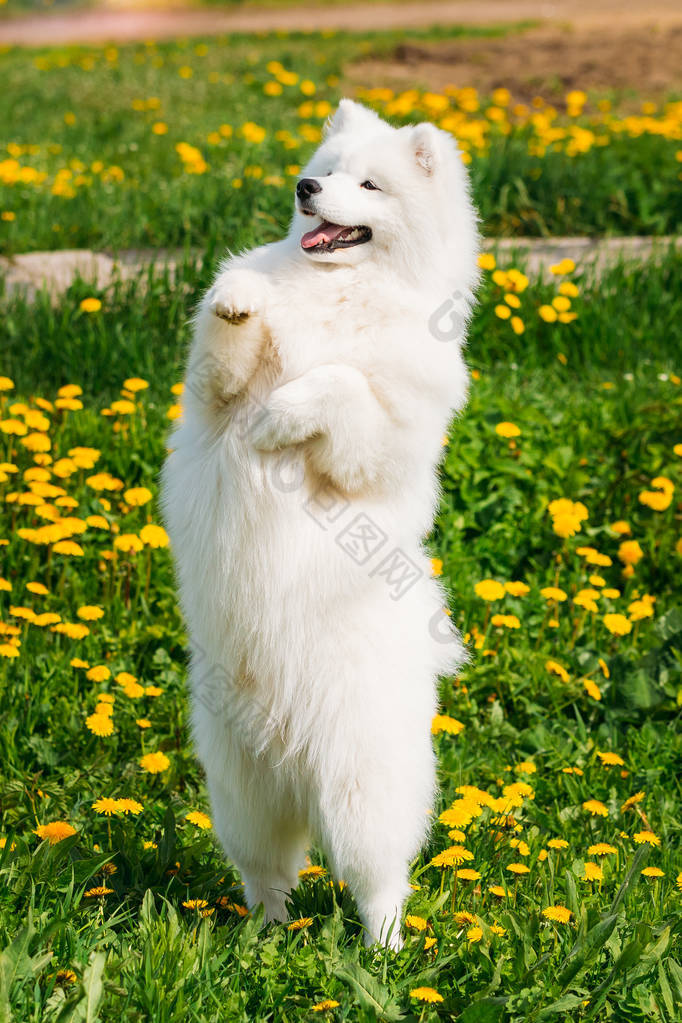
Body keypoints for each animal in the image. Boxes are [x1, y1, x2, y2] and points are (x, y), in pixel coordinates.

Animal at [162, 99, 478, 945]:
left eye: (368, 185)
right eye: (325, 170)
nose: (306, 190)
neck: (343, 292)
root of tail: (291, 751)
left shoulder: (377, 443)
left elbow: (337, 383)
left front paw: (280, 420)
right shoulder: (213, 396)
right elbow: (227, 346)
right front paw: (239, 297)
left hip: (363, 786)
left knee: (381, 881)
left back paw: (386, 951)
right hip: (239, 789)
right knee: (268, 874)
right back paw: (260, 939)